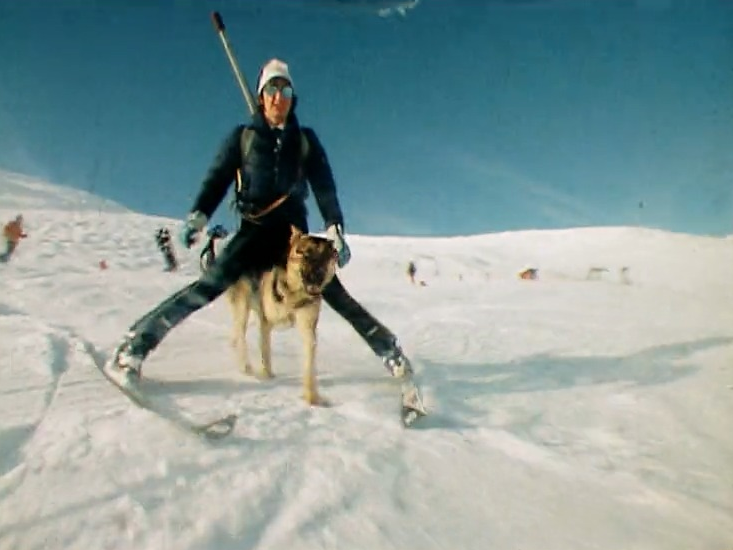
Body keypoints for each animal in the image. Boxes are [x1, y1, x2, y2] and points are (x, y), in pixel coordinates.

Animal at [226, 226, 338, 408]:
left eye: (326, 256)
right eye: (304, 254)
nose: (317, 275)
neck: (294, 295)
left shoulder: (308, 329)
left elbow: (309, 365)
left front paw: (312, 398)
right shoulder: (266, 321)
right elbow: (265, 352)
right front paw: (267, 377)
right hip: (243, 305)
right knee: (241, 334)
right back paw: (246, 367)